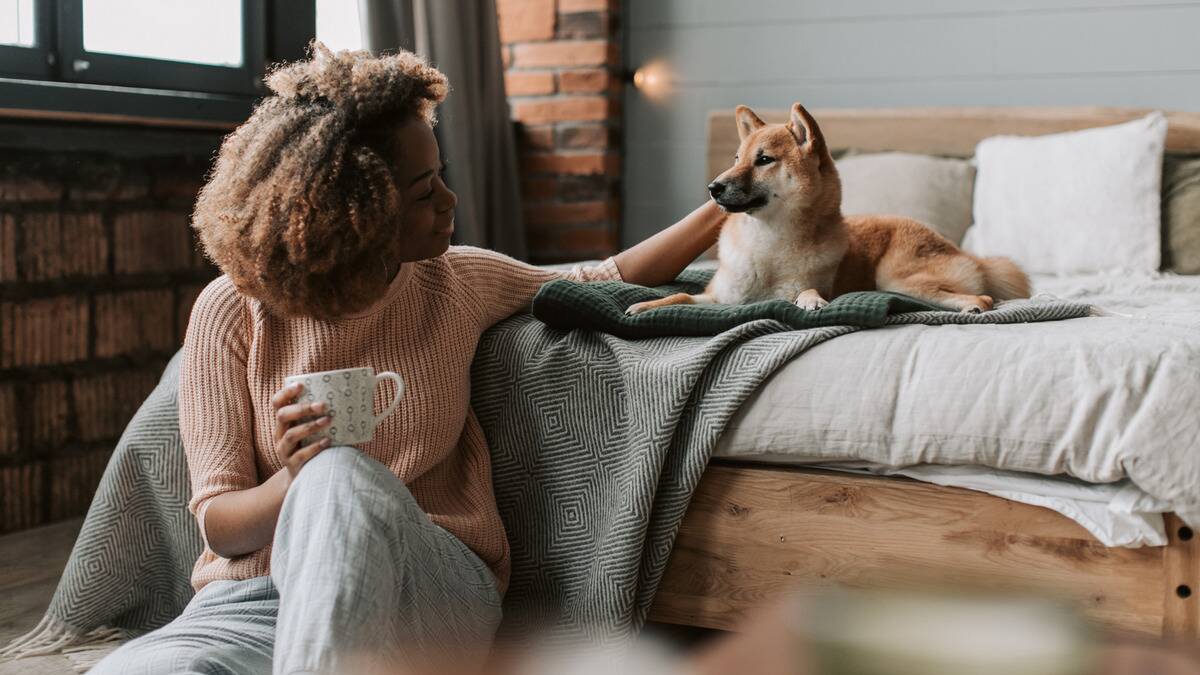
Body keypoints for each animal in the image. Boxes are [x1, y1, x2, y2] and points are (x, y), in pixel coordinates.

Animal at [628, 102, 1032, 312]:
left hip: (896, 276)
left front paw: (811, 302)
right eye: (737, 158)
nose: (713, 188)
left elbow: (807, 292)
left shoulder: (802, 285)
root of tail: (965, 252)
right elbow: (680, 295)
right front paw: (644, 307)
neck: (768, 244)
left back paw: (972, 305)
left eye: (764, 160)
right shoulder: (718, 298)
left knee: (984, 297)